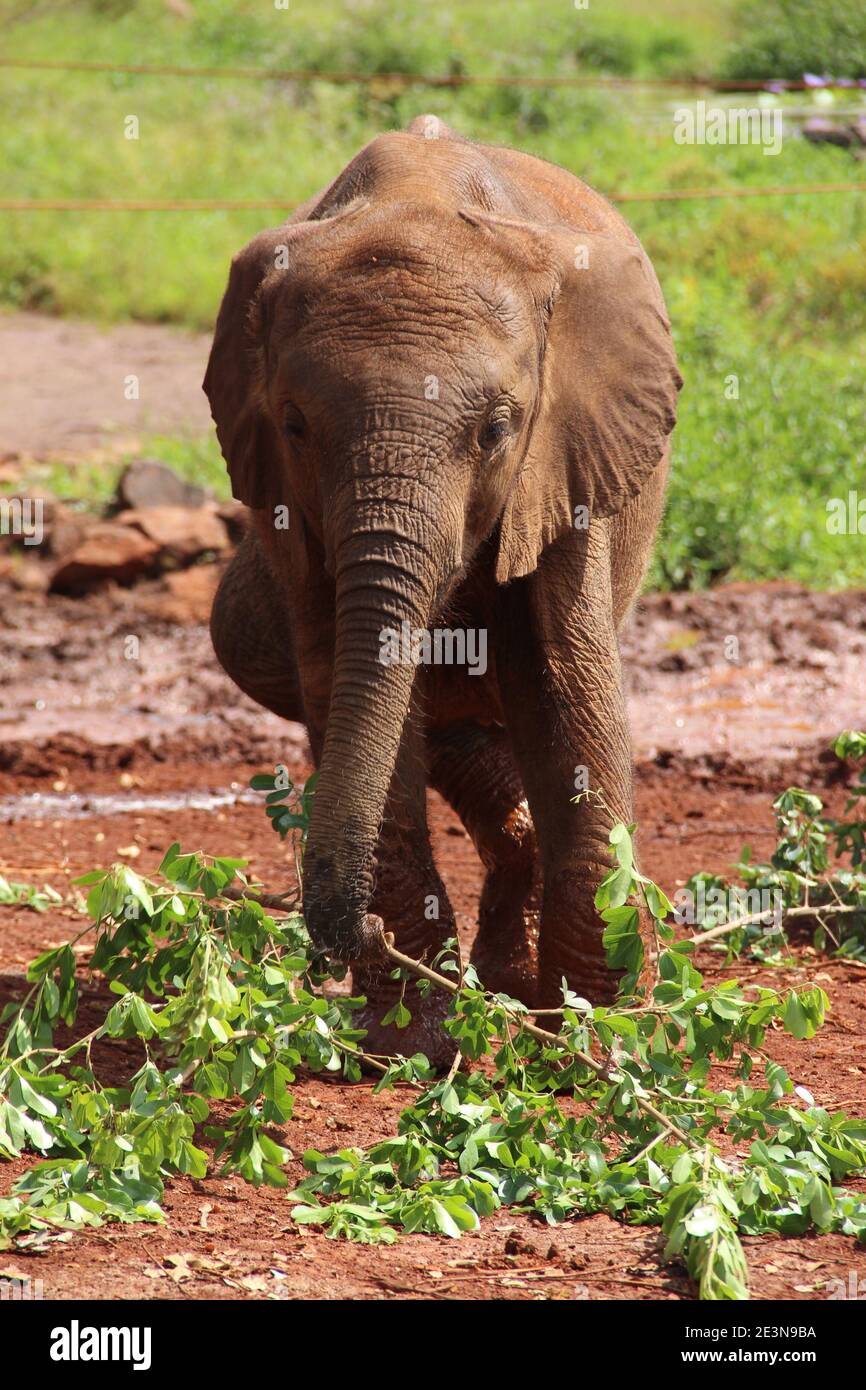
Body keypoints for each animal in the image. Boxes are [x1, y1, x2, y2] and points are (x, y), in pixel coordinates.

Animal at [207, 116, 681, 1061]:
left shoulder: (567, 452)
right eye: (294, 424)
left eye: (497, 429)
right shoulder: (281, 495)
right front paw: (410, 1049)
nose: (341, 940)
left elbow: (565, 685)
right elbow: (341, 676)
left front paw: (590, 1048)